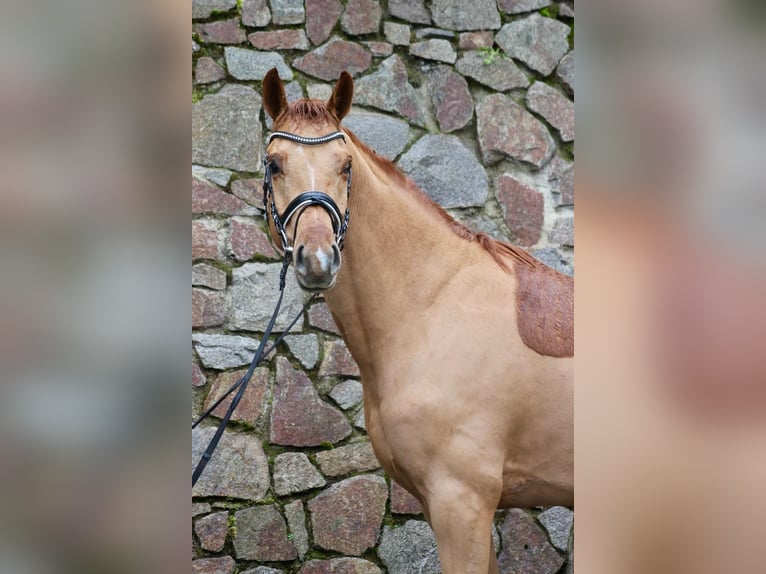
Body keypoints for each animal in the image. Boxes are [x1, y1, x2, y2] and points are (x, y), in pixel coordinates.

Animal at [260, 71, 572, 574]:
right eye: (273, 165)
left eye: (345, 166)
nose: (318, 259)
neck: (434, 305)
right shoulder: (447, 505)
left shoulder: (461, 503)